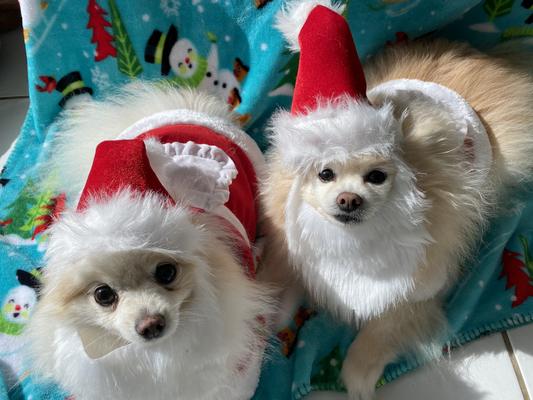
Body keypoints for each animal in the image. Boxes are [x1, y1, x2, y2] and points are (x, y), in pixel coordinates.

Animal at [262, 1, 533, 398]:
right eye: (325, 174)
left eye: (377, 176)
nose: (349, 199)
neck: (353, 244)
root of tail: (490, 56)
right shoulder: (295, 249)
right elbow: (286, 279)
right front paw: (272, 312)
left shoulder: (418, 290)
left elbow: (382, 330)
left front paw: (356, 374)